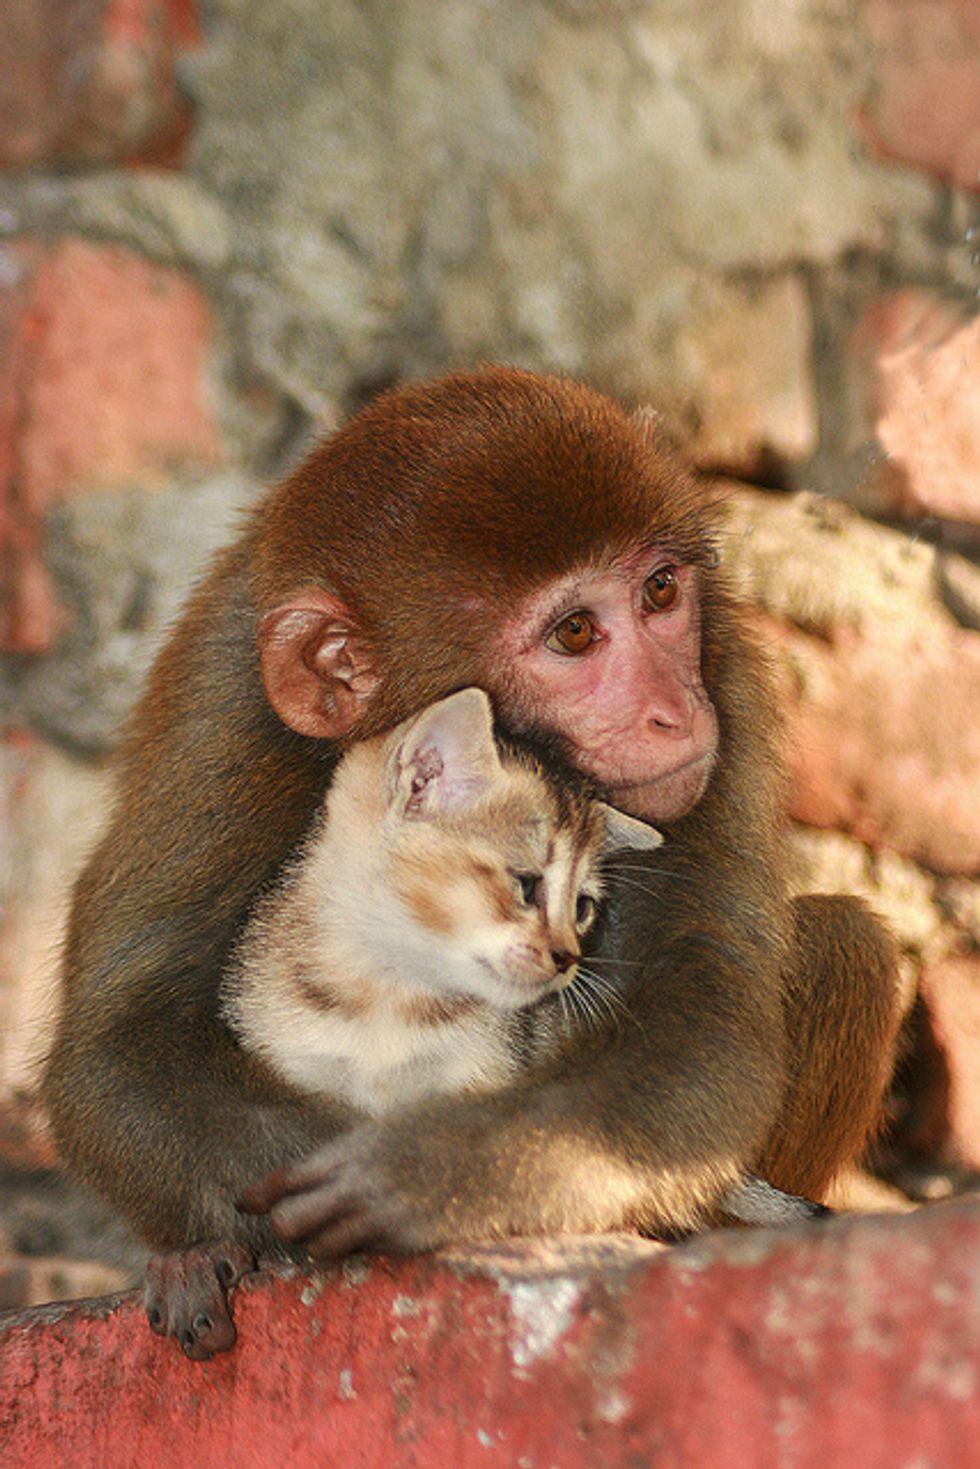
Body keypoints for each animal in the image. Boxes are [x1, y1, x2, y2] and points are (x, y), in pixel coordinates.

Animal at [41, 368, 900, 1360]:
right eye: (574, 633)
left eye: (659, 590)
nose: (676, 713)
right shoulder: (222, 708)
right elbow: (117, 1045)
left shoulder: (726, 672)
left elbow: (701, 1025)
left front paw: (430, 1171)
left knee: (841, 940)